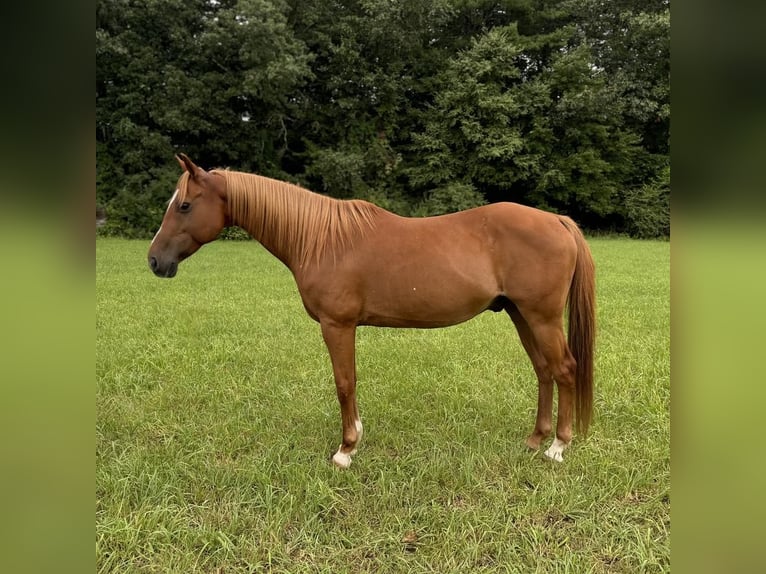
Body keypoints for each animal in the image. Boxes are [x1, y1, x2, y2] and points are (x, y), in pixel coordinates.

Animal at [147, 155, 596, 470]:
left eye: (184, 205)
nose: (154, 261)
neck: (321, 239)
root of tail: (556, 220)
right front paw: (355, 438)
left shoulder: (337, 325)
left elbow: (345, 383)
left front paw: (346, 449)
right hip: (521, 314)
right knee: (543, 371)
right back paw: (535, 440)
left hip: (541, 317)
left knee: (564, 370)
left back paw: (558, 446)